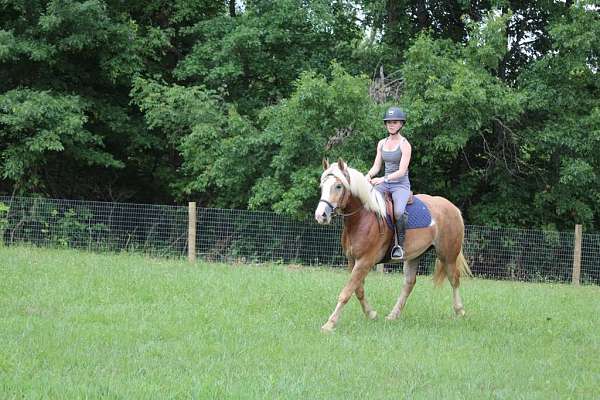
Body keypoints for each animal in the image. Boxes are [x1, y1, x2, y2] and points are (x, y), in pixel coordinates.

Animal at [312, 158, 472, 332]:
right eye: (322, 186)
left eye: (338, 186)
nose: (321, 215)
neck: (363, 217)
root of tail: (453, 208)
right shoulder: (353, 260)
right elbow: (358, 290)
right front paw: (371, 314)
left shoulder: (365, 261)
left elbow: (346, 292)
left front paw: (330, 323)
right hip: (414, 256)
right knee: (409, 283)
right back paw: (393, 315)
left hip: (447, 255)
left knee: (454, 279)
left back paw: (460, 311)